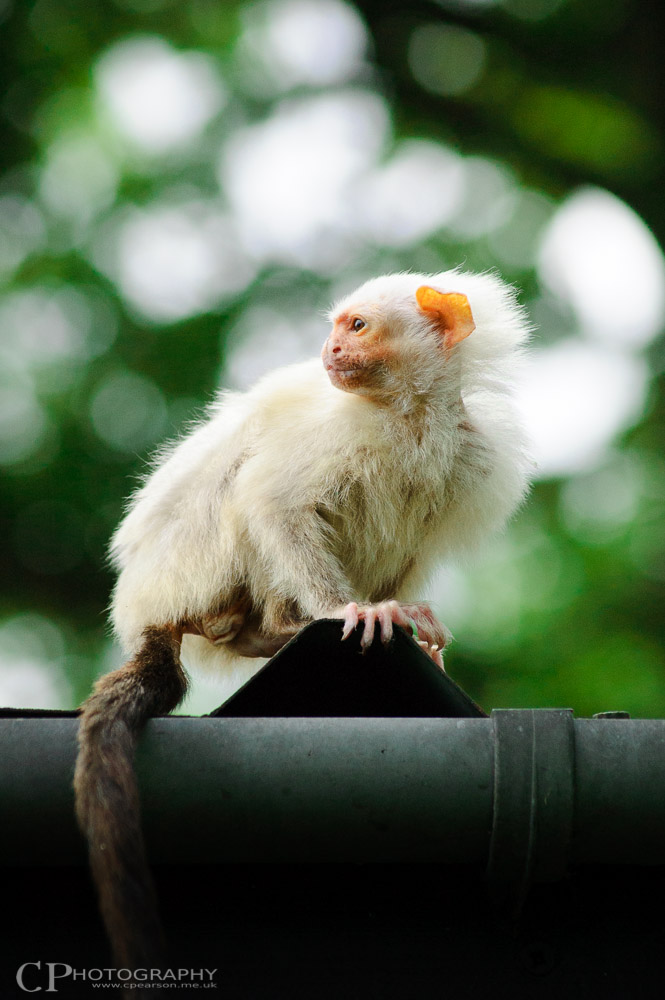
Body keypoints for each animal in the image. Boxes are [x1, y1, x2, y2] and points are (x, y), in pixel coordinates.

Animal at [74, 272, 528, 968]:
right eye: (338, 327)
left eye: (357, 327)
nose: (330, 350)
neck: (410, 415)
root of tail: (145, 607)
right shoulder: (335, 434)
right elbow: (273, 502)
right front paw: (352, 609)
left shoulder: (473, 455)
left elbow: (412, 555)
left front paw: (418, 632)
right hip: (194, 570)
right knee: (238, 494)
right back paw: (280, 629)